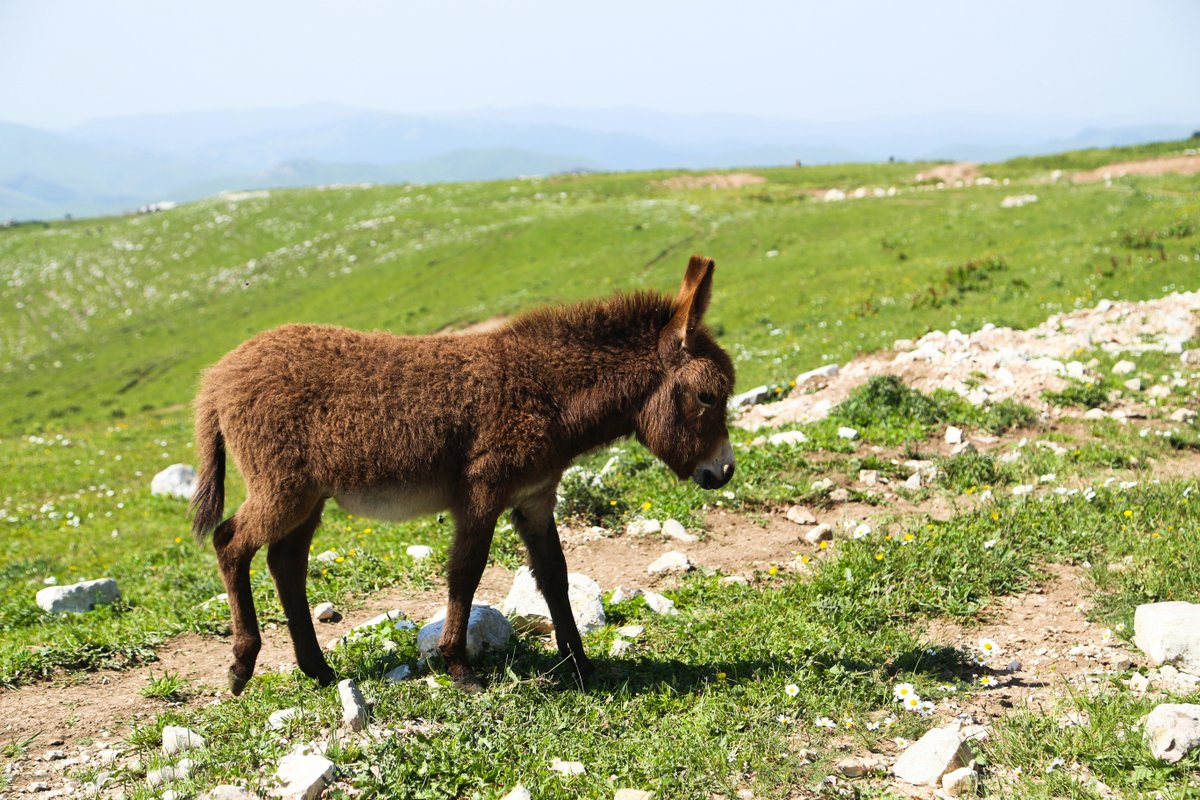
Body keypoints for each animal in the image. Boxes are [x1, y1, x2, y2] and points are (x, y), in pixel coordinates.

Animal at [192, 256, 734, 695]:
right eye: (708, 396)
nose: (724, 470)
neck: (549, 393)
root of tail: (217, 377)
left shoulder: (535, 499)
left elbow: (554, 577)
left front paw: (580, 666)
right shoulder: (481, 493)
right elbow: (465, 574)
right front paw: (459, 668)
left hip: (309, 498)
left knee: (286, 563)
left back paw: (318, 671)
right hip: (283, 489)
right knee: (230, 543)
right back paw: (241, 666)